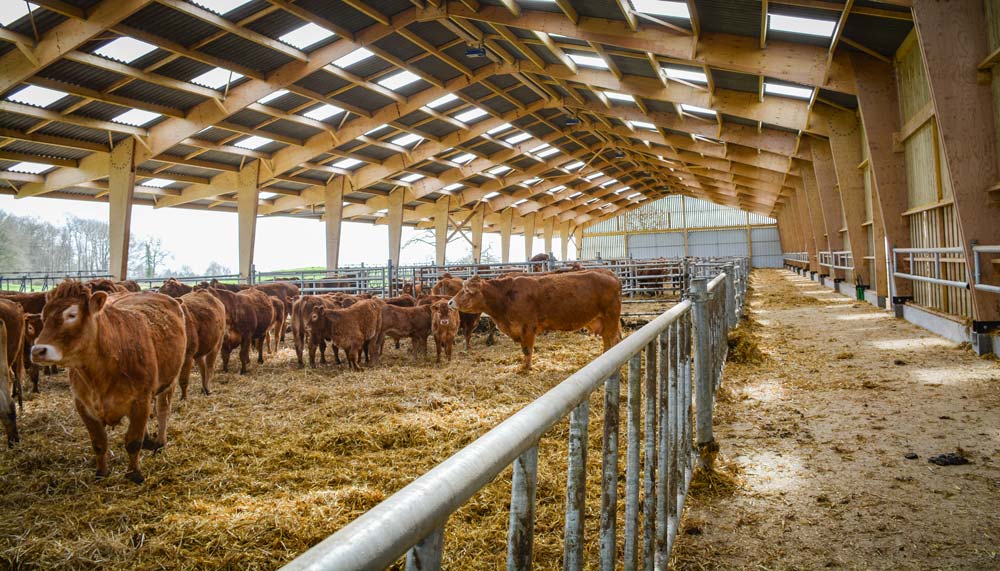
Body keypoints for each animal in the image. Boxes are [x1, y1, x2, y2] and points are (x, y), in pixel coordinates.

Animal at [30, 282, 186, 482]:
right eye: (44, 316)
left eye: (72, 315)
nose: (37, 351)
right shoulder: (83, 404)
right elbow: (99, 442)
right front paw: (101, 473)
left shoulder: (140, 401)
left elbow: (133, 441)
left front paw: (134, 473)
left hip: (170, 381)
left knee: (163, 410)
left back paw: (160, 441)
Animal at [450, 272, 620, 374]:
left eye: (466, 290)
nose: (450, 302)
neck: (505, 297)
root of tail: (608, 273)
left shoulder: (527, 328)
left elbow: (527, 350)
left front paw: (525, 368)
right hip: (601, 320)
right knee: (608, 339)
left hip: (610, 317)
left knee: (613, 338)